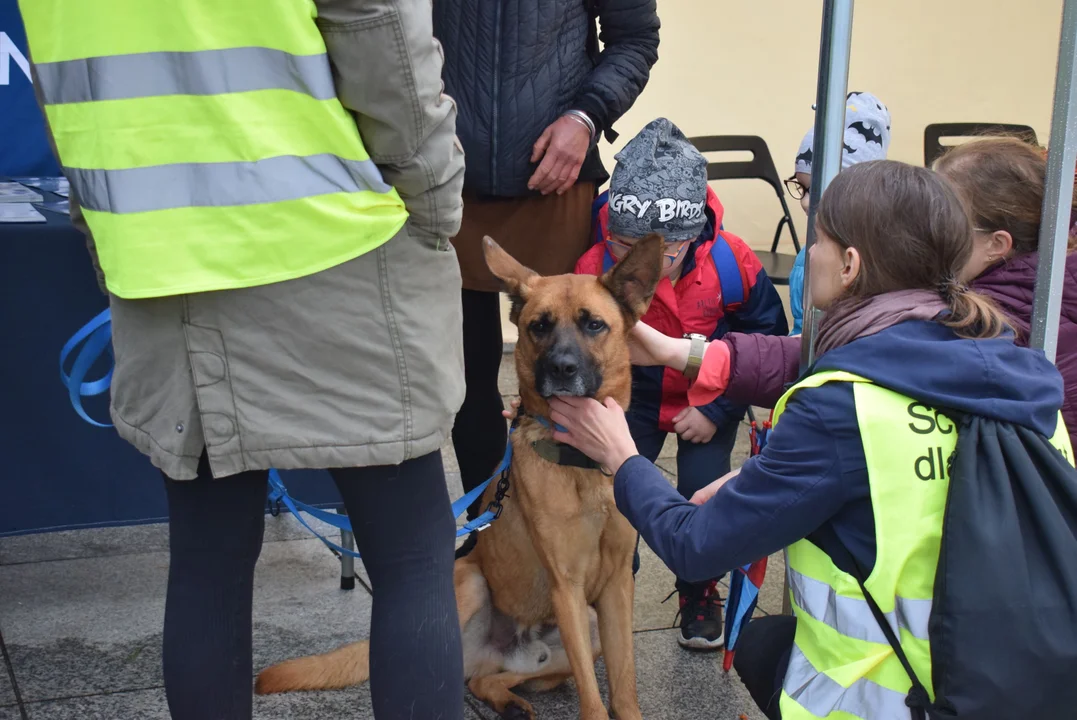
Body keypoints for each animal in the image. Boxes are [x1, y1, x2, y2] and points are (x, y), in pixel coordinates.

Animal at [260, 233, 663, 714]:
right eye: (539, 326)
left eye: (594, 325)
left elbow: (623, 688)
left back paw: (510, 702)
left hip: (584, 626)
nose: (561, 369)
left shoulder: (616, 589)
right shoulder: (567, 588)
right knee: (462, 671)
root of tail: (497, 650)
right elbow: (594, 700)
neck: (578, 461)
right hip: (474, 585)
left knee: (490, 680)